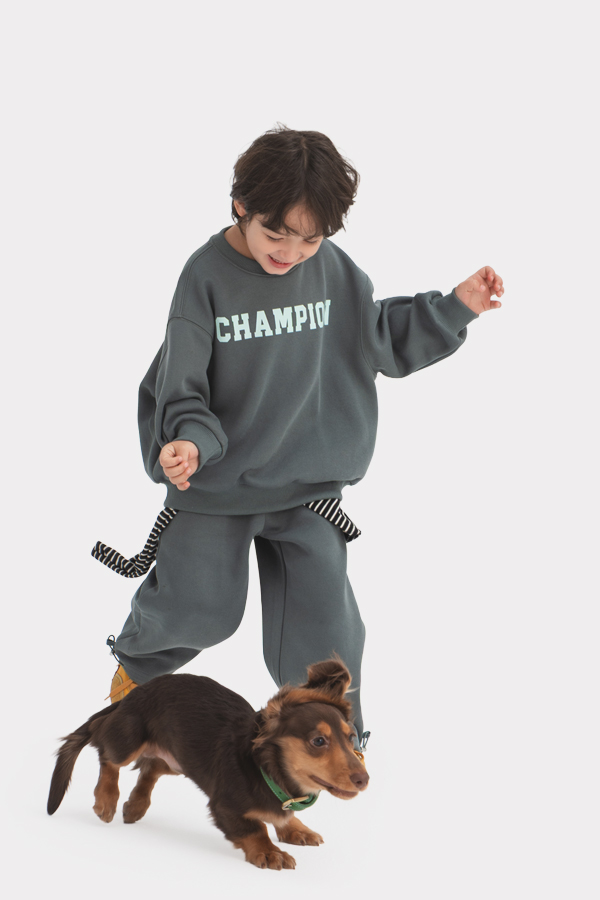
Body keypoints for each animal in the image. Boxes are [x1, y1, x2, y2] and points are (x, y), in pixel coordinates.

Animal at [48, 658, 369, 869]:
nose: (364, 780)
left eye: (351, 737)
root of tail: (137, 691)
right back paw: (106, 800)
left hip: (179, 758)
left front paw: (295, 829)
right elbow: (255, 829)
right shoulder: (224, 806)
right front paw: (270, 852)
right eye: (318, 741)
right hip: (130, 737)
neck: (266, 770)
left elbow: (280, 817)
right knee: (106, 751)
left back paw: (136, 805)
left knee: (151, 768)